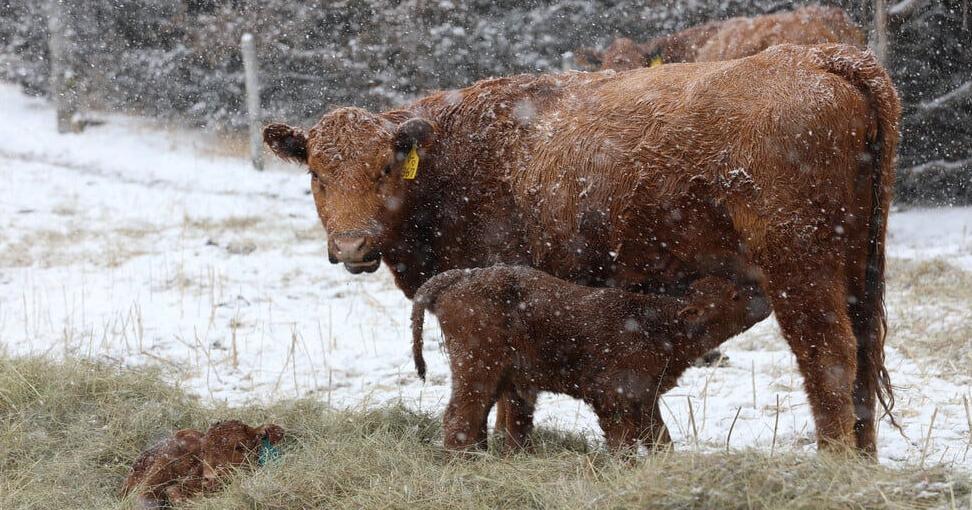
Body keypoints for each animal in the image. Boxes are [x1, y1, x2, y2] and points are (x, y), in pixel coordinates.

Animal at [410, 266, 762, 453]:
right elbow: (623, 441)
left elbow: (659, 437)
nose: (763, 298)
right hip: (476, 368)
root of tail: (459, 277)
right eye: (734, 296)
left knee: (491, 420)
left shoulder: (646, 396)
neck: (656, 326)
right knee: (460, 416)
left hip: (501, 378)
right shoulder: (612, 396)